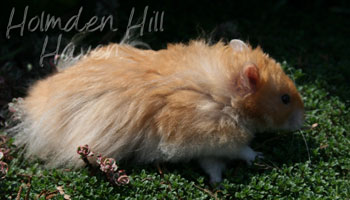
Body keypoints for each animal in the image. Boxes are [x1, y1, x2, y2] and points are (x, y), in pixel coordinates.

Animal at [10, 38, 304, 183]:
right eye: (285, 99)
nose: (303, 119)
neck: (225, 96)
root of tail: (32, 108)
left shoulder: (209, 147)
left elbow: (212, 165)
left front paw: (216, 183)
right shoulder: (215, 138)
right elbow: (242, 150)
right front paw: (259, 156)